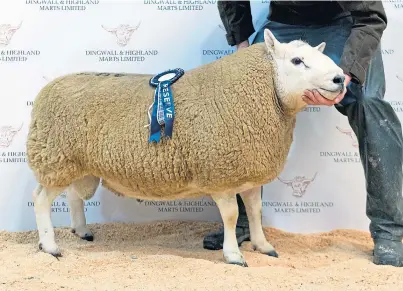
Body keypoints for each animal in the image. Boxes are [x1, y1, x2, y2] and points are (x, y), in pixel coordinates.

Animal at [26, 28, 346, 268]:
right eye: (297, 60)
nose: (340, 79)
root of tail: (48, 89)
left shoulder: (248, 172)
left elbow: (255, 211)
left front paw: (263, 245)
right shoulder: (221, 174)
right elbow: (231, 216)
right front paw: (234, 255)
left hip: (76, 163)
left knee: (73, 196)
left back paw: (81, 231)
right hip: (54, 157)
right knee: (40, 200)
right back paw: (50, 246)